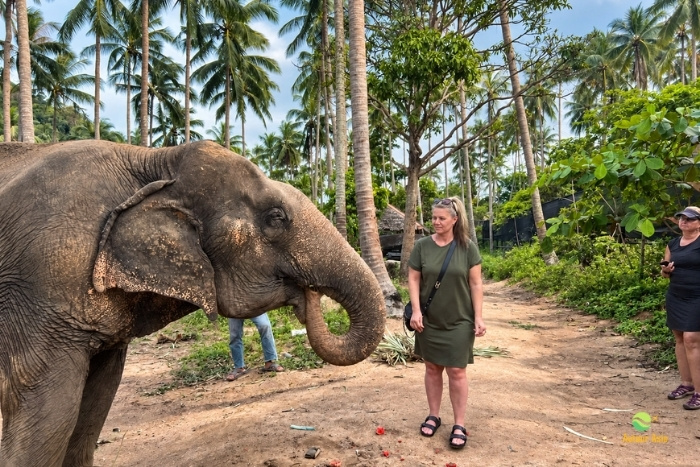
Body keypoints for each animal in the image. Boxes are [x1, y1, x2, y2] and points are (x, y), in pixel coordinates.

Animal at [0, 140, 386, 466]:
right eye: (276, 217)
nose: (307, 296)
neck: (154, 160)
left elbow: (94, 407)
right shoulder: (41, 285)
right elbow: (49, 412)